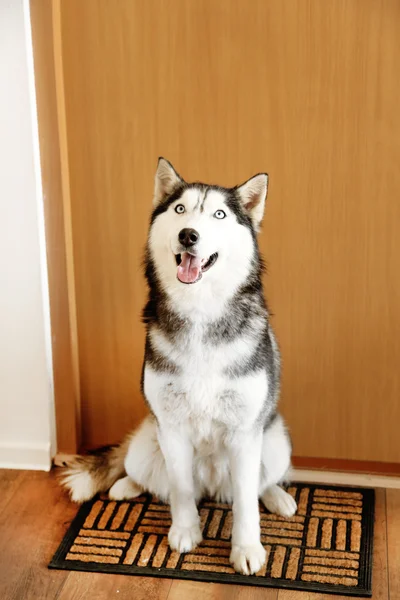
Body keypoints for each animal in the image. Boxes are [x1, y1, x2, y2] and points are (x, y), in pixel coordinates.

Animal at [60, 157, 296, 576]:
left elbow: (246, 503)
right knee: (150, 479)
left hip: (275, 441)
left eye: (219, 214)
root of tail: (213, 487)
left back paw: (278, 498)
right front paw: (185, 531)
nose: (189, 235)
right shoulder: (171, 428)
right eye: (180, 209)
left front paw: (246, 548)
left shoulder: (245, 434)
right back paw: (124, 486)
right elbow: (180, 489)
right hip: (146, 444)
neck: (200, 310)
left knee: (260, 483)